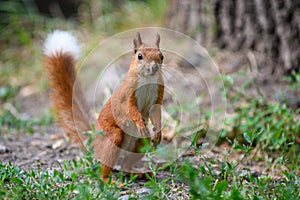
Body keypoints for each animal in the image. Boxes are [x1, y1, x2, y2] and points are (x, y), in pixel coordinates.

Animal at [43, 30, 164, 182]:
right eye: (139, 56)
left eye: (162, 56)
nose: (154, 67)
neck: (147, 79)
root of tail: (93, 140)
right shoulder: (126, 95)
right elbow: (130, 109)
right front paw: (140, 124)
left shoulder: (158, 95)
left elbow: (156, 112)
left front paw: (158, 132)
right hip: (112, 137)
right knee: (105, 168)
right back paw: (110, 181)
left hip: (141, 143)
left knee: (126, 165)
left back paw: (140, 173)